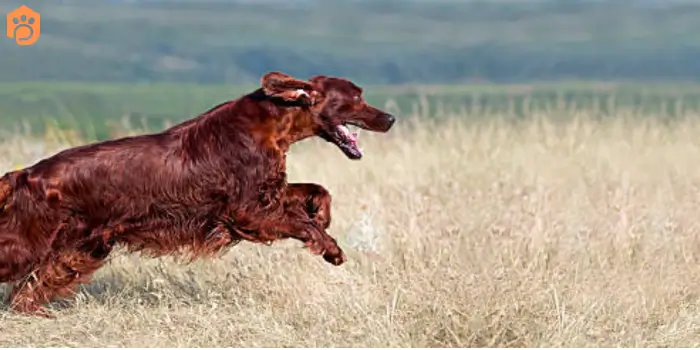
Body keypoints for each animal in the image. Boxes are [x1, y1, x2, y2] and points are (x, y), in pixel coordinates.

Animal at [0, 72, 396, 318]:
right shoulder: (248, 212)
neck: (274, 121)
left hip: (79, 249)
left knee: (26, 292)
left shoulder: (267, 195)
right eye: (357, 99)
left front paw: (323, 214)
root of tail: (26, 174)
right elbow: (301, 223)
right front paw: (331, 248)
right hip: (29, 243)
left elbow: (316, 191)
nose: (390, 119)